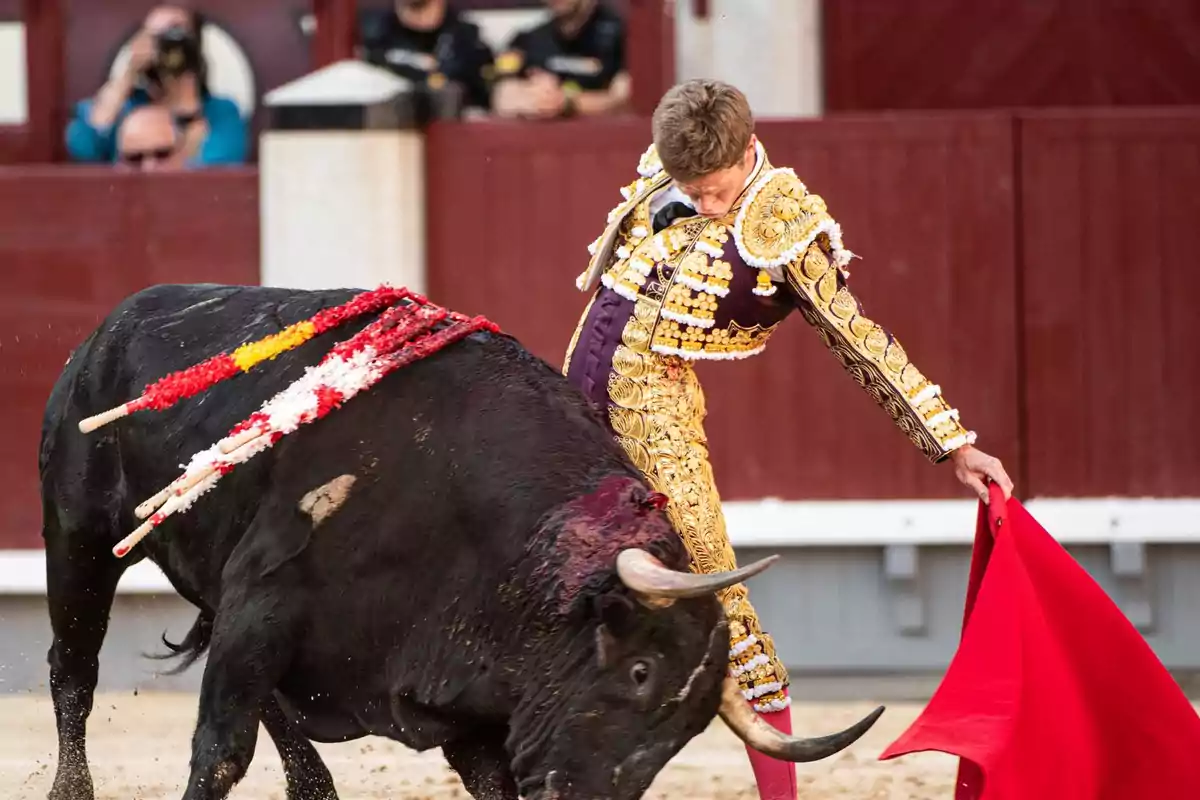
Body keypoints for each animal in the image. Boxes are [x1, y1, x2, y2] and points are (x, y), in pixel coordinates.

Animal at [39, 287, 883, 800]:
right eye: (641, 671)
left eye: (686, 731)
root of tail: (109, 327)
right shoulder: (263, 596)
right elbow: (219, 752)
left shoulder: (473, 692)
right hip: (78, 541)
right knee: (74, 672)